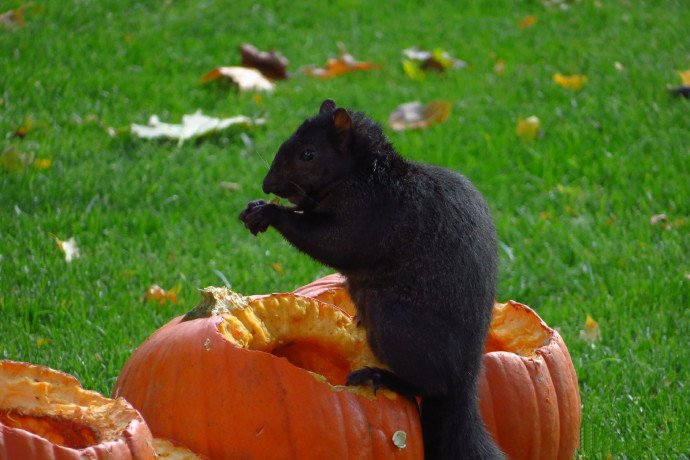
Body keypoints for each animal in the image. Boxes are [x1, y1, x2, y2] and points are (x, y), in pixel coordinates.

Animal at [239, 100, 502, 460]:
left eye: (308, 154)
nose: (267, 185)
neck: (364, 173)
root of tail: (466, 376)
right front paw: (256, 207)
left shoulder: (367, 215)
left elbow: (333, 243)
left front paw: (270, 212)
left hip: (394, 324)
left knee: (432, 384)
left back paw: (382, 377)